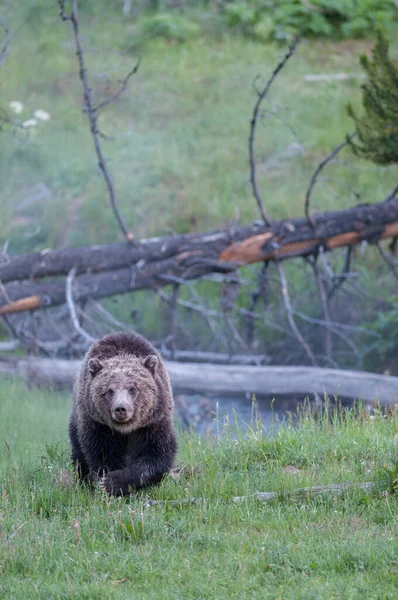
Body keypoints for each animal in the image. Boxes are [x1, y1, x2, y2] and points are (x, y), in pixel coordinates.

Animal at [68, 330, 177, 494]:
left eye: (133, 389)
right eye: (109, 391)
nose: (121, 408)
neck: (125, 430)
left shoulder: (153, 422)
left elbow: (156, 454)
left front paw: (116, 481)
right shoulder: (98, 425)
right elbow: (103, 455)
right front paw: (108, 482)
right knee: (79, 454)